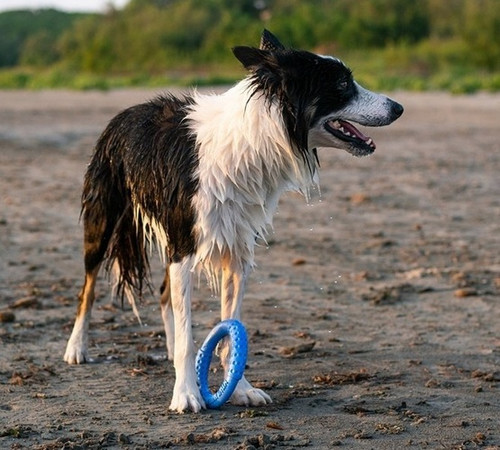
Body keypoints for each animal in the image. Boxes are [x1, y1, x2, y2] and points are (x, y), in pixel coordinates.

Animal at [65, 29, 402, 414]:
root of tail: (123, 113)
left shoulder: (237, 250)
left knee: (165, 296)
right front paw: (186, 393)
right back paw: (76, 347)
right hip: (104, 219)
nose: (399, 107)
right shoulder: (184, 247)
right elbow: (189, 334)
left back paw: (166, 349)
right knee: (88, 287)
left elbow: (230, 327)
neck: (256, 141)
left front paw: (239, 387)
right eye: (344, 84)